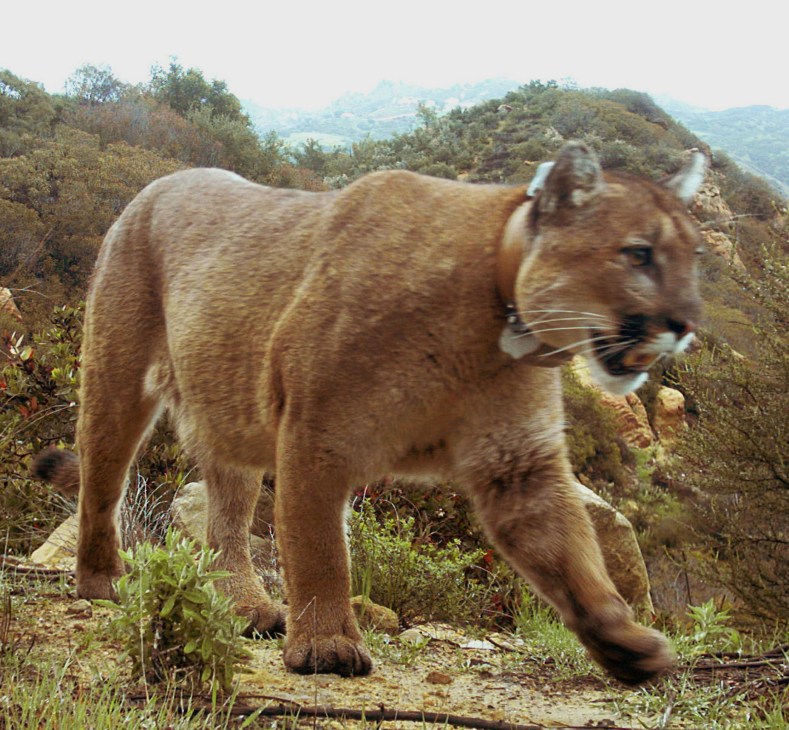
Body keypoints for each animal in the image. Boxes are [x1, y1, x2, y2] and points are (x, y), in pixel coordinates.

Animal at [34, 141, 706, 685]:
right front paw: (327, 646)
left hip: (229, 406)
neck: (491, 317)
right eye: (638, 253)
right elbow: (320, 547)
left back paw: (246, 607)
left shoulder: (518, 462)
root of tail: (154, 185)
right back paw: (103, 580)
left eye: (693, 256)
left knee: (226, 511)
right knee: (102, 479)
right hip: (118, 377)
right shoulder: (316, 435)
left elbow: (569, 553)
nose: (685, 322)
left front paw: (624, 642)